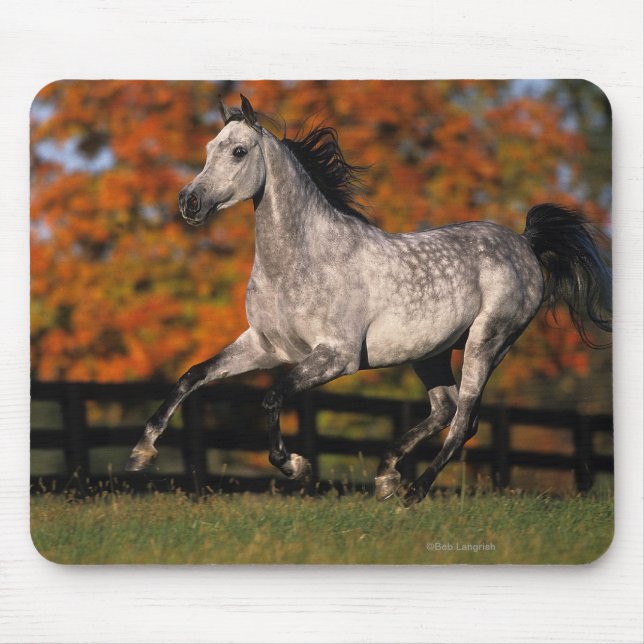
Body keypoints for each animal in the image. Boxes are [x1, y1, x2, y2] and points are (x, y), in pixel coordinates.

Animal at [126, 94, 612, 506]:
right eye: (210, 148)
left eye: (239, 152)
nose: (189, 202)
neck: (301, 261)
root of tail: (525, 244)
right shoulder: (265, 346)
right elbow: (193, 375)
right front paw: (142, 451)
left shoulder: (337, 357)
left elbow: (273, 397)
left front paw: (296, 466)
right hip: (429, 352)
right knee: (445, 408)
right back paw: (385, 476)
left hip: (488, 342)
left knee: (464, 420)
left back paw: (413, 492)